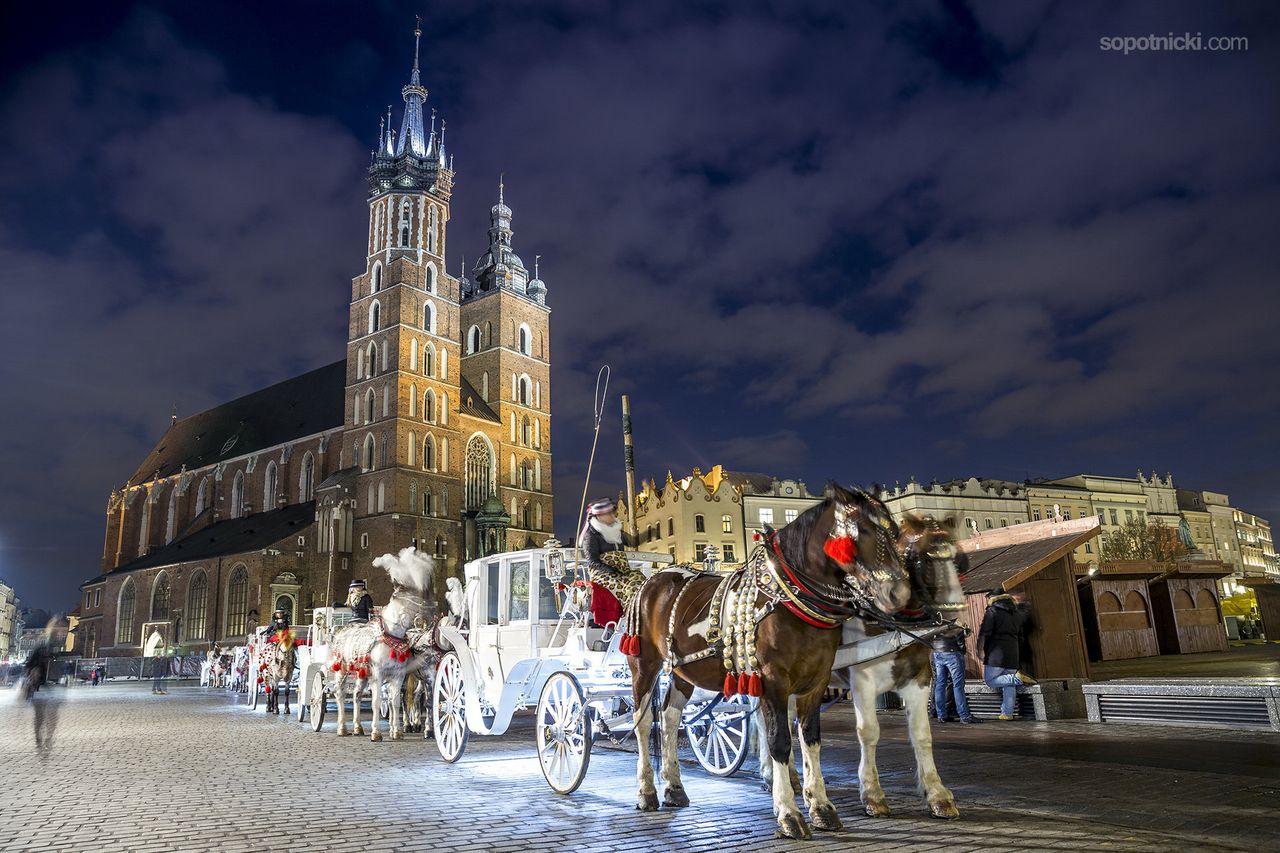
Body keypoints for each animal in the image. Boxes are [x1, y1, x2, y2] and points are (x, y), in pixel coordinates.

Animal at [327, 545, 437, 737]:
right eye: (415, 597)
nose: (432, 611)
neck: (393, 636)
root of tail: (339, 630)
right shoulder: (378, 674)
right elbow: (377, 702)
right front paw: (377, 733)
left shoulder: (398, 675)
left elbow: (395, 702)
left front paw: (397, 732)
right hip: (342, 669)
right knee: (339, 694)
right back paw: (342, 728)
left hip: (362, 673)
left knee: (356, 695)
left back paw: (358, 727)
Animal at [627, 481, 911, 835]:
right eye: (863, 530)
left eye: (895, 530)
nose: (899, 594)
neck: (791, 596)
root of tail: (652, 579)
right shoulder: (772, 680)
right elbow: (779, 741)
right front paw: (789, 813)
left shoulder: (816, 681)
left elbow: (811, 739)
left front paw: (822, 807)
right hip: (644, 665)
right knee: (643, 723)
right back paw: (646, 791)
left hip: (682, 672)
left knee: (668, 719)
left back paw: (674, 788)